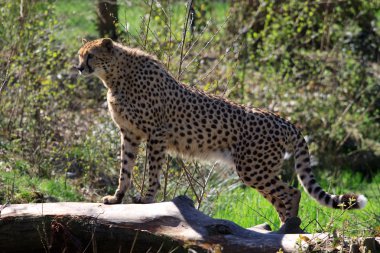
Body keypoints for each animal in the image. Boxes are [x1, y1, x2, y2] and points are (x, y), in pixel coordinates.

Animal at [75, 38, 366, 225]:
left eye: (90, 55)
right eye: (80, 55)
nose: (79, 68)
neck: (115, 76)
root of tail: (284, 119)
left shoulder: (157, 133)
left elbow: (152, 171)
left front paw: (146, 200)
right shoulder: (130, 134)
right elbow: (125, 169)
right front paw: (116, 198)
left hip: (253, 168)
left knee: (291, 193)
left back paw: (288, 228)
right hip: (259, 169)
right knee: (282, 195)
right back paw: (284, 229)